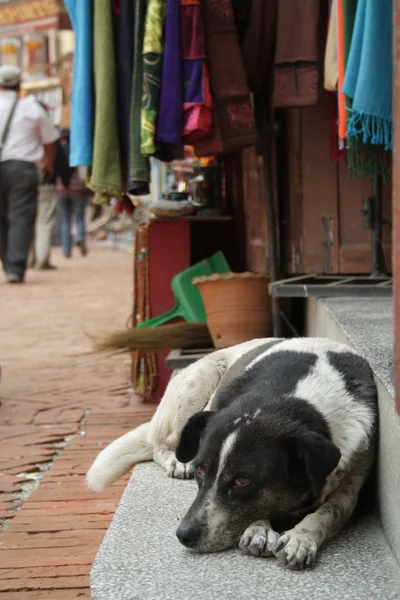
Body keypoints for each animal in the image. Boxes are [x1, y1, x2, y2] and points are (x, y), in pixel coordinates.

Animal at [87, 340, 378, 568]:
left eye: (242, 480)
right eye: (202, 470)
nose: (184, 535)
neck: (294, 397)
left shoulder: (352, 482)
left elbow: (328, 512)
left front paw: (300, 538)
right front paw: (259, 529)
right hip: (195, 386)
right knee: (159, 442)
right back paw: (176, 461)